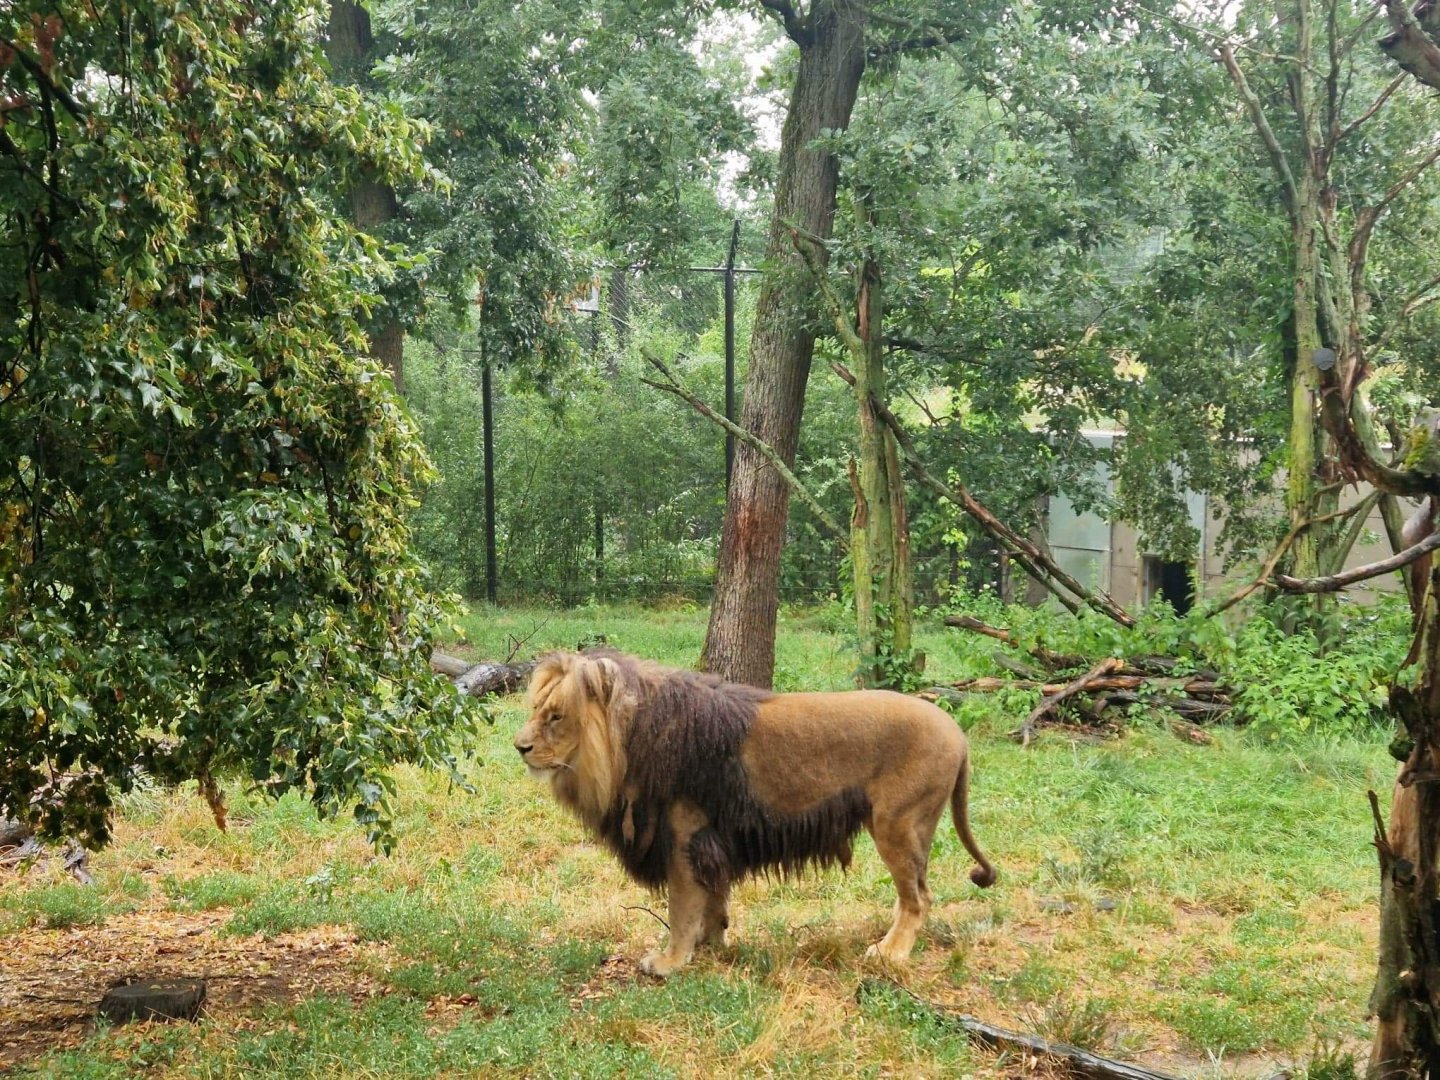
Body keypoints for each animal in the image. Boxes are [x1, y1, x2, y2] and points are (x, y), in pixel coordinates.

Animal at [513, 649, 996, 977]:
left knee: (919, 898)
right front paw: (712, 944)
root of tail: (958, 733)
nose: (520, 747)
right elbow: (712, 902)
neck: (632, 738)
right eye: (536, 710)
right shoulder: (712, 843)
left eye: (556, 716)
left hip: (897, 825)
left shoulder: (686, 837)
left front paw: (670, 961)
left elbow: (681, 909)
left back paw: (890, 951)